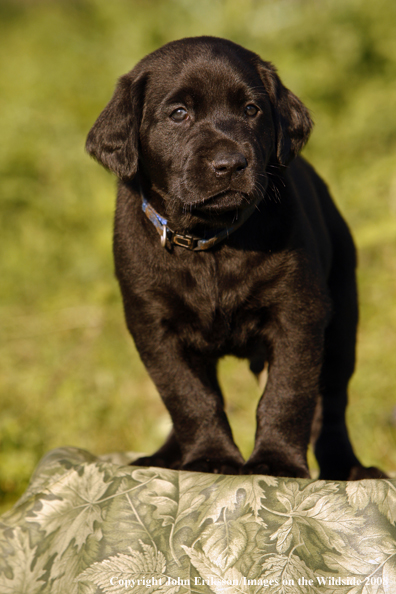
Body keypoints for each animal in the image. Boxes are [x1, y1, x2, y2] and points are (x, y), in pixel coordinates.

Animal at [86, 35, 384, 480]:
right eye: (179, 114)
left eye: (251, 110)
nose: (230, 164)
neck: (210, 243)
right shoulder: (154, 328)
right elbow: (189, 397)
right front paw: (211, 458)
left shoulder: (298, 315)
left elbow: (287, 395)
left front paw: (276, 462)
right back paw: (166, 455)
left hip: (342, 322)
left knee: (331, 404)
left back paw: (346, 466)